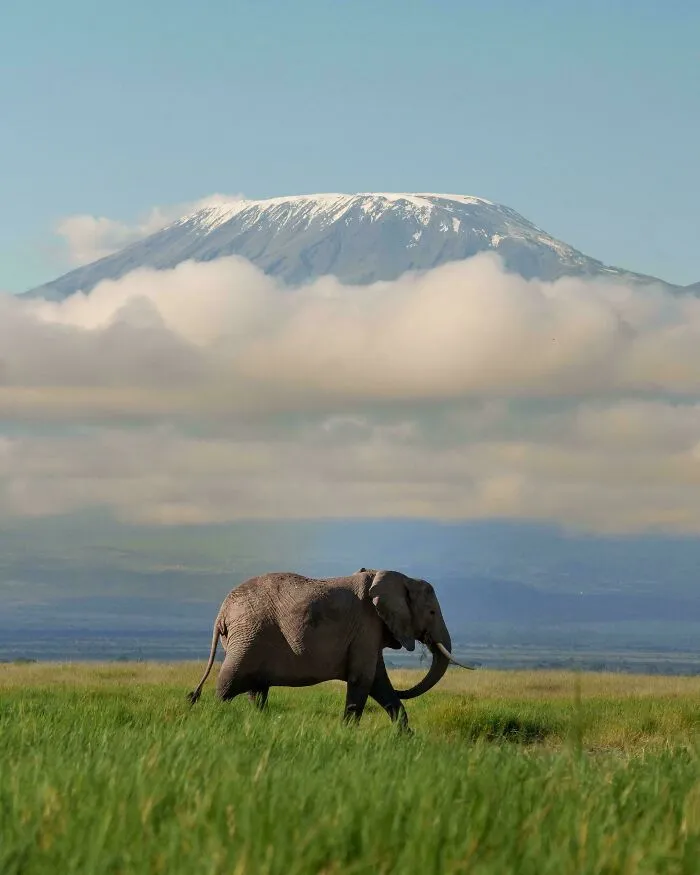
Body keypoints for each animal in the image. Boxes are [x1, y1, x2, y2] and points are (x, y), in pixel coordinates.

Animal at [187, 567, 472, 729]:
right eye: (432, 612)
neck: (399, 578)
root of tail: (222, 612)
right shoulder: (366, 625)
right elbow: (363, 679)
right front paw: (347, 734)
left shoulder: (370, 631)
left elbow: (379, 681)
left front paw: (406, 740)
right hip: (247, 637)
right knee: (228, 683)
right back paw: (219, 717)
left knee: (257, 689)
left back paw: (258, 720)